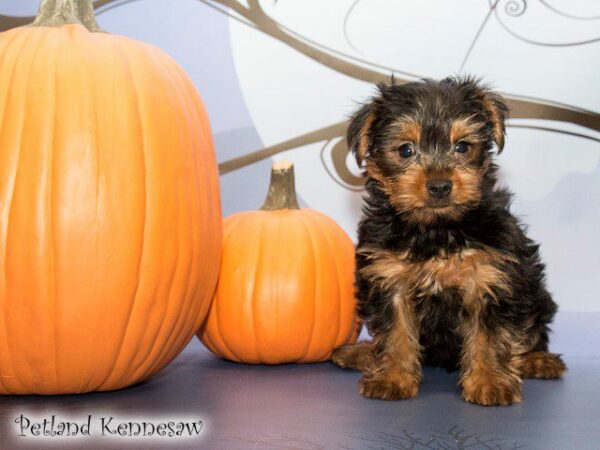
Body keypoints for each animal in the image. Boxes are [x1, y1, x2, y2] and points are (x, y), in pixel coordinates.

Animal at [332, 77, 568, 408]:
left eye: (462, 146)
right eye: (405, 150)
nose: (440, 185)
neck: (436, 230)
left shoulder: (490, 278)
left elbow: (491, 335)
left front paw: (489, 381)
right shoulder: (390, 279)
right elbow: (395, 333)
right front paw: (393, 377)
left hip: (535, 291)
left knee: (532, 329)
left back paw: (538, 360)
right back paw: (362, 353)